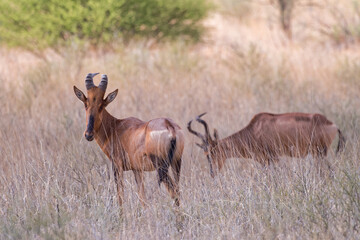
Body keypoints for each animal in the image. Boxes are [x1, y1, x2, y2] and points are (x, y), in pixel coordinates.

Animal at [74, 72, 184, 206]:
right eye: (86, 104)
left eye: (101, 105)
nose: (88, 134)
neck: (115, 127)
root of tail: (170, 126)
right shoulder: (137, 169)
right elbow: (142, 197)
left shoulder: (117, 166)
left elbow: (120, 196)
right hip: (176, 163)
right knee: (177, 190)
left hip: (161, 167)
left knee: (174, 192)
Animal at [187, 112, 344, 176]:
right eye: (206, 154)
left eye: (214, 151)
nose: (212, 173)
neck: (255, 129)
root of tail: (332, 124)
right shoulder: (265, 161)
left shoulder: (273, 158)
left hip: (320, 153)